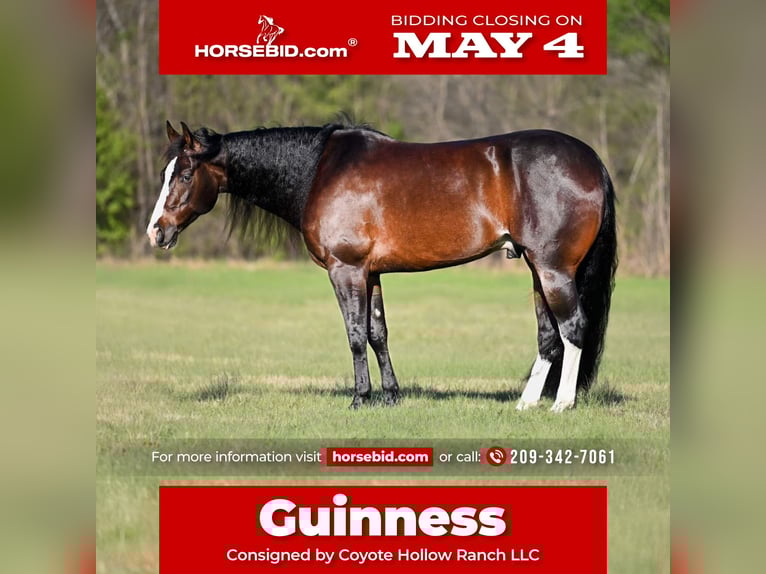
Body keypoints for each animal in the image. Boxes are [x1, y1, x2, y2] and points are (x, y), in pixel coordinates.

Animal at [147, 121, 617, 411]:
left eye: (185, 175)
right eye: (165, 172)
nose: (156, 232)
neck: (320, 170)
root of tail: (590, 160)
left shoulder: (346, 269)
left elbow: (356, 335)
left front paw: (360, 398)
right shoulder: (370, 273)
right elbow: (378, 333)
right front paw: (391, 396)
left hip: (554, 269)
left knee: (572, 327)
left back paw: (562, 404)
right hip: (538, 272)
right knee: (548, 336)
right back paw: (526, 402)